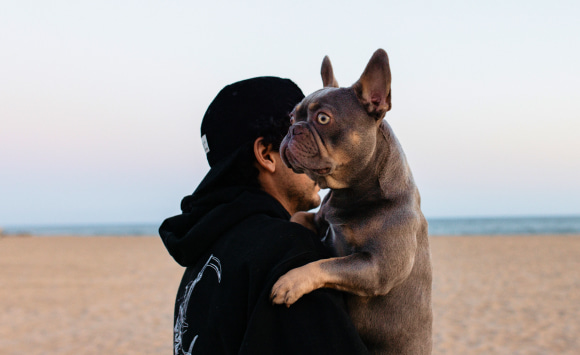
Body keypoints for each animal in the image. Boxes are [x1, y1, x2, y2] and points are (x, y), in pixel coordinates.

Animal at [270, 48, 430, 354]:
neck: (349, 193)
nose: (293, 130)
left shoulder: (376, 268)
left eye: (323, 119)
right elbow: (301, 217)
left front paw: (291, 281)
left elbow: (328, 264)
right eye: (292, 118)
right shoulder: (321, 218)